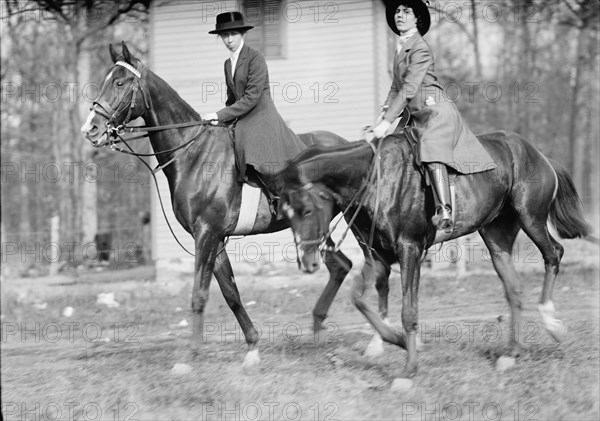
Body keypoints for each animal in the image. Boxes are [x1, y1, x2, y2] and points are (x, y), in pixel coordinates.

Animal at [81, 41, 360, 366]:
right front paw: (252, 347)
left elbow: (199, 294)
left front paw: (190, 356)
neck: (193, 152)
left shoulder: (206, 234)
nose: (91, 129)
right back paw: (317, 327)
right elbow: (230, 293)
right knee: (341, 265)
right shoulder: (213, 238)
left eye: (120, 83)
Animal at [276, 129, 592, 378]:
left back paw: (551, 322)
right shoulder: (379, 256)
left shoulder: (410, 249)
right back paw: (511, 352)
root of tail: (538, 154)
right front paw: (397, 341)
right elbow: (359, 298)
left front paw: (408, 369)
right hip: (496, 236)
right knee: (513, 288)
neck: (375, 178)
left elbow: (408, 311)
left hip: (531, 218)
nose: (306, 262)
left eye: (306, 210)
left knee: (554, 254)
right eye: (285, 213)